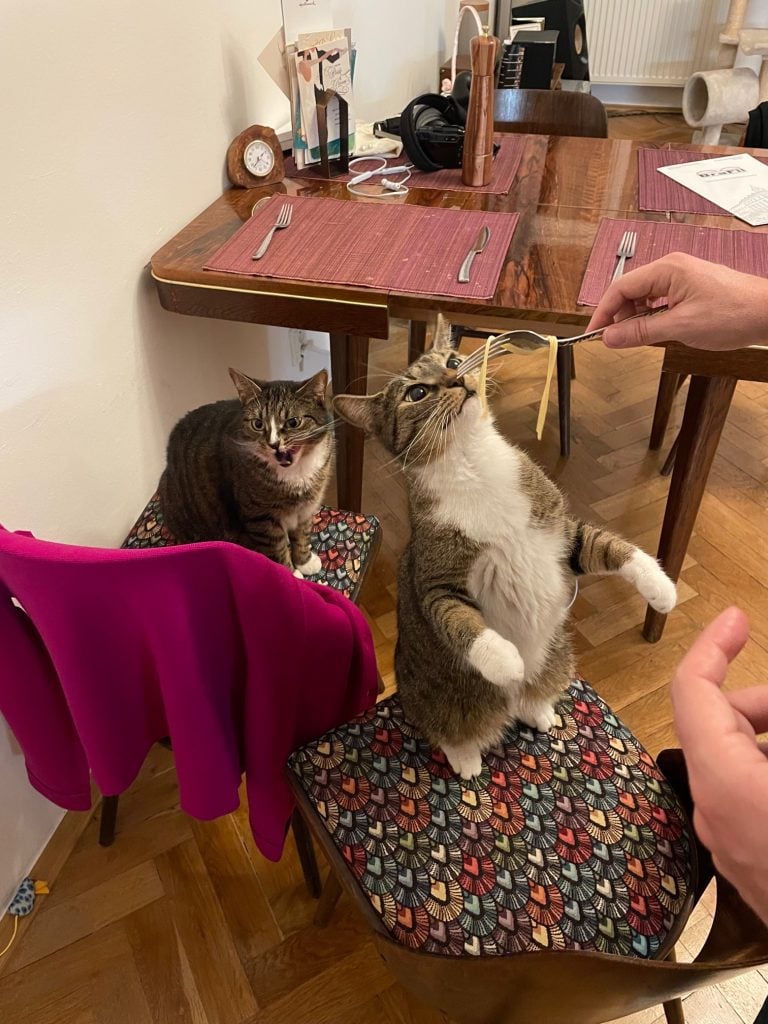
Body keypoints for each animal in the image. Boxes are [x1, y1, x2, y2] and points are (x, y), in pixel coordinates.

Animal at [157, 368, 331, 577]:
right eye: (258, 424)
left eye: (293, 422)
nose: (273, 444)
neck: (296, 474)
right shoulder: (261, 519)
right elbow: (278, 550)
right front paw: (291, 576)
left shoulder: (306, 508)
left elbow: (302, 534)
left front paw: (305, 562)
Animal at [333, 348, 675, 778]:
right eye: (417, 392)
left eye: (451, 359)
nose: (457, 378)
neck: (473, 465)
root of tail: (507, 707)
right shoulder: (437, 579)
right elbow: (458, 618)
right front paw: (504, 659)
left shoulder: (559, 531)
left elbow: (604, 545)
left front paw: (660, 588)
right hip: (442, 701)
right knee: (449, 729)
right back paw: (467, 756)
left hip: (558, 657)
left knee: (533, 695)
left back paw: (538, 710)